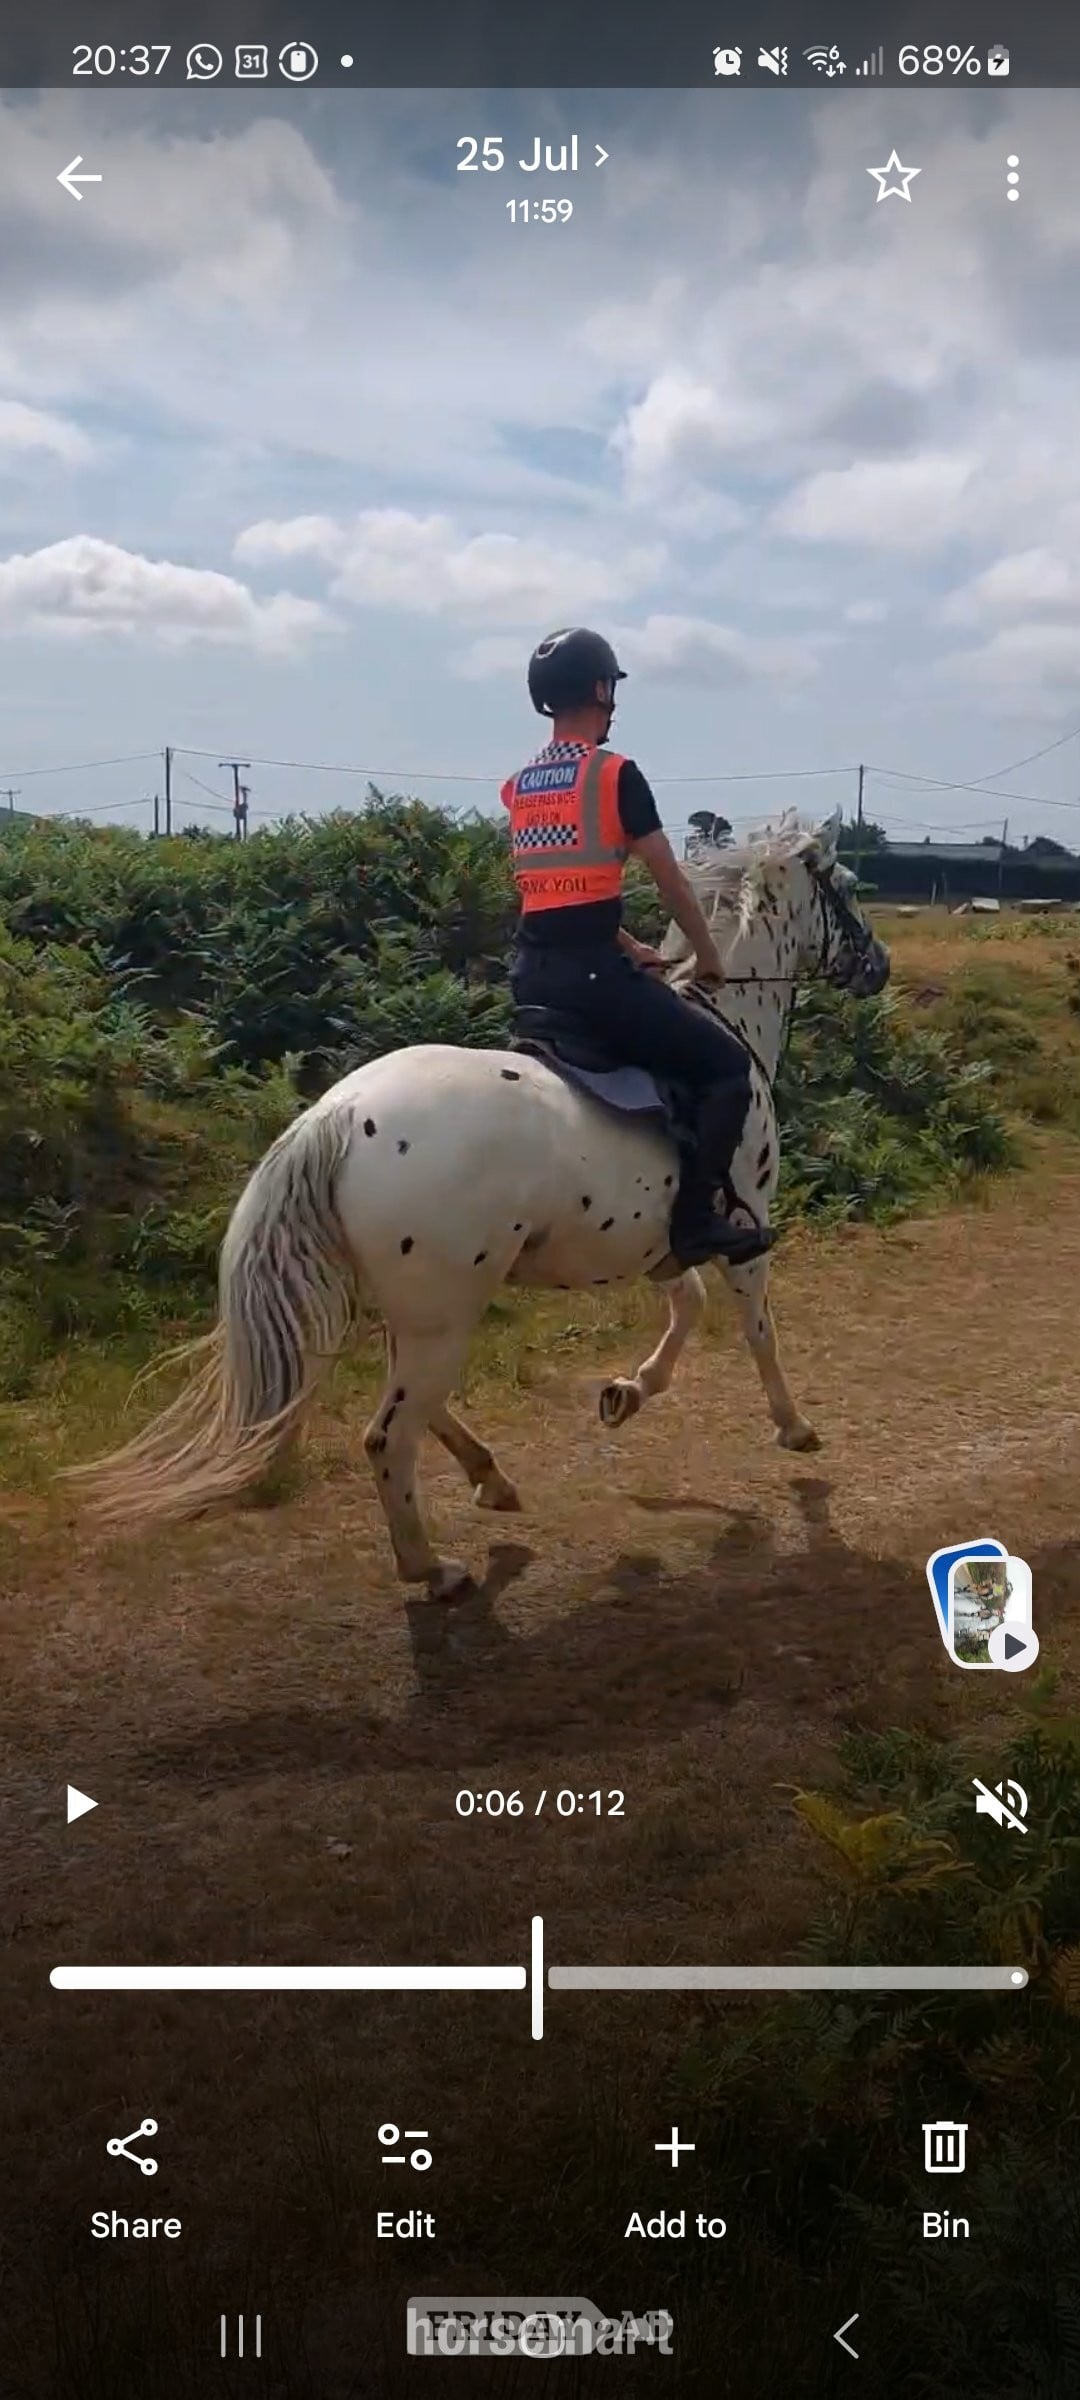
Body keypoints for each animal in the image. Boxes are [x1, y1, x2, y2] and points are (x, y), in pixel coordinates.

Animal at [66, 807, 889, 1599]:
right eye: (847, 885)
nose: (877, 967)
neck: (729, 1021)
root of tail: (338, 1113)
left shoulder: (662, 1241)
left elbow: (687, 1307)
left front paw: (627, 1393)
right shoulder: (741, 1226)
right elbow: (758, 1330)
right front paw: (794, 1426)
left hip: (421, 1308)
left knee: (419, 1408)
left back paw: (489, 1479)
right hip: (444, 1311)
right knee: (389, 1434)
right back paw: (431, 1569)